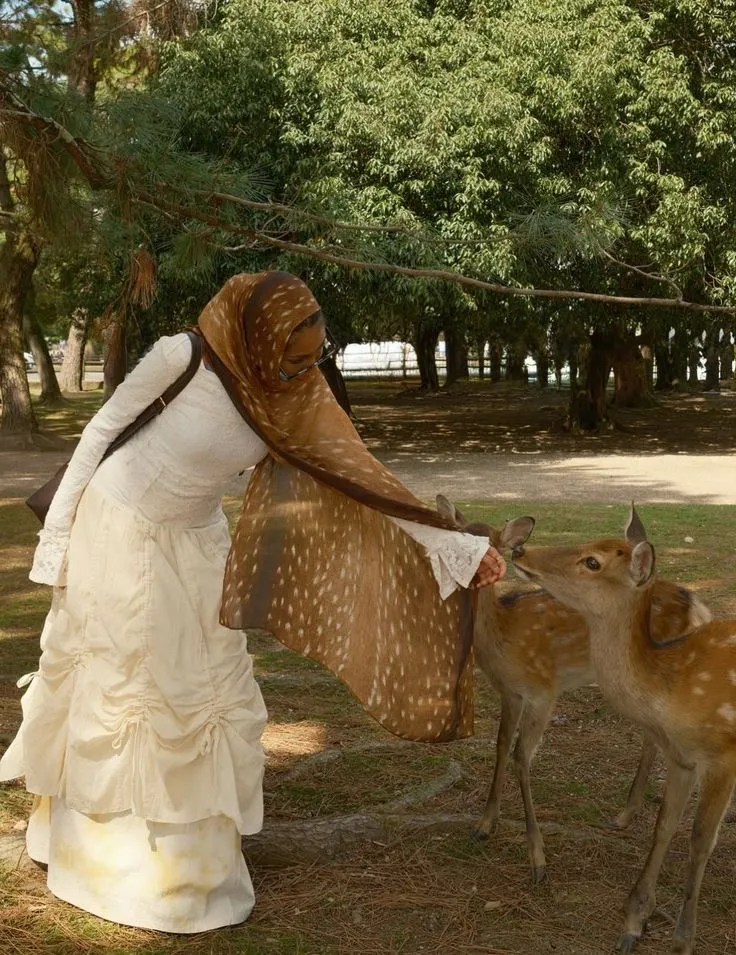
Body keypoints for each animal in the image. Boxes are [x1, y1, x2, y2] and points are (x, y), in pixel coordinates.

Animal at [435, 496, 712, 887]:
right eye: (455, 535)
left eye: (490, 545)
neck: (503, 640)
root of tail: (698, 606)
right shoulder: (510, 692)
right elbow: (501, 746)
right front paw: (484, 825)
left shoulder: (543, 689)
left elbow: (522, 756)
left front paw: (538, 859)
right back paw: (625, 814)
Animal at [510, 505, 735, 955]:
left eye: (593, 563)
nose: (521, 549)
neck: (674, 688)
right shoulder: (681, 757)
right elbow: (664, 825)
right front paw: (635, 921)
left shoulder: (723, 752)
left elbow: (701, 839)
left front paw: (683, 940)